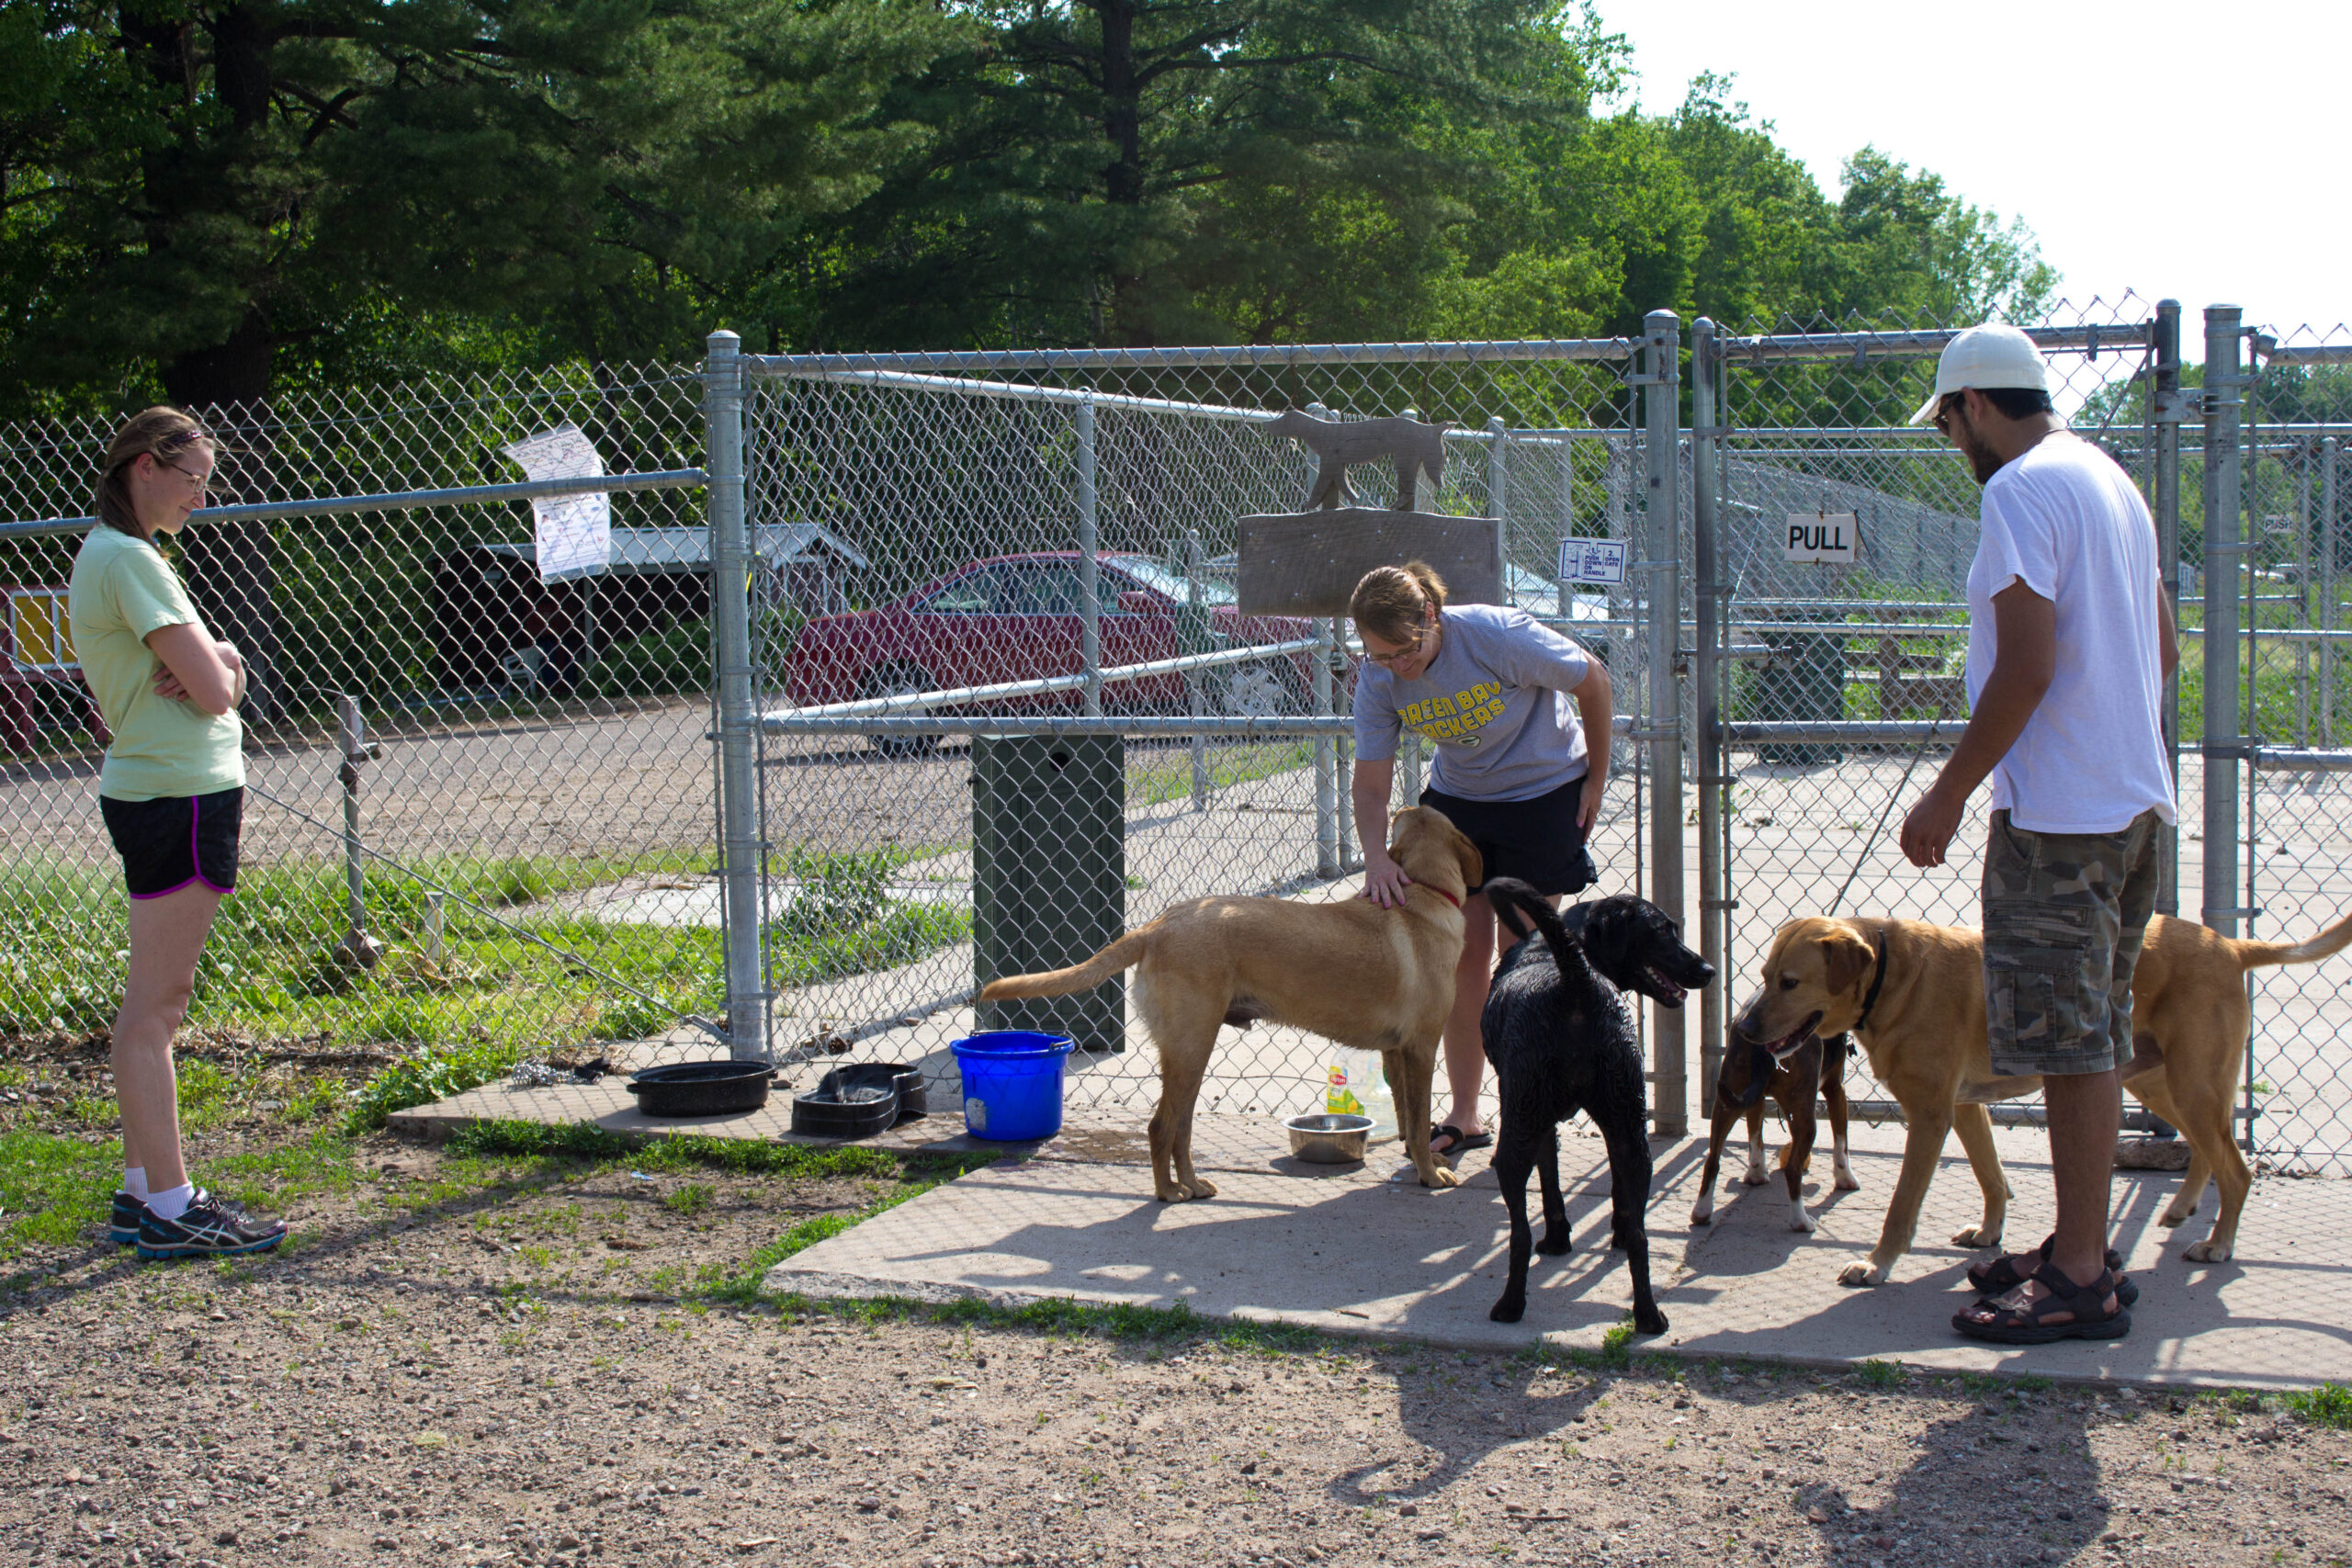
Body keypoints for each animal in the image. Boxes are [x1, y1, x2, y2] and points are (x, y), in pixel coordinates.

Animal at [983, 808, 1476, 1203]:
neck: (1427, 891)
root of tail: (1155, 926)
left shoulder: (1396, 1052)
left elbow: (1408, 1122)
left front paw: (1418, 1164)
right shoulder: (1421, 1048)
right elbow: (1421, 1120)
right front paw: (1431, 1176)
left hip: (1187, 1053)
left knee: (1180, 1129)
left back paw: (1191, 1185)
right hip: (1192, 1046)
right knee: (1160, 1127)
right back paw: (1168, 1193)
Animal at [1486, 879, 1712, 1335]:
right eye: (1662, 931)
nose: (1708, 969)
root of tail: (1576, 983)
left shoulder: (1536, 1122)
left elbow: (1550, 1185)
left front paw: (1556, 1240)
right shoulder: (1615, 1126)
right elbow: (1615, 1191)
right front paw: (1614, 1232)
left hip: (1515, 1136)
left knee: (1518, 1234)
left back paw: (1510, 1306)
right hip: (1631, 1131)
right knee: (1643, 1237)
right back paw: (1648, 1315)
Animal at [1731, 907, 2352, 1288]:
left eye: (1790, 983)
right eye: (1762, 974)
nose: (1745, 1030)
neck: (1891, 977)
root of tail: (2230, 943)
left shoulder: (1930, 1115)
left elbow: (1902, 1207)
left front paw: (1877, 1265)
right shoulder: (1965, 1107)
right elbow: (1991, 1177)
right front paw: (1989, 1234)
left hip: (2192, 1083)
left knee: (2236, 1167)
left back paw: (2219, 1244)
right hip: (2155, 1081)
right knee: (2208, 1151)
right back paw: (2182, 1208)